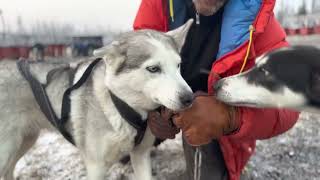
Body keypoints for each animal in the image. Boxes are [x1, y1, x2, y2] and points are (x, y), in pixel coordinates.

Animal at [0, 19, 194, 180]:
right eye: (153, 69)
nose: (189, 98)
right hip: (8, 149)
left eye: (178, 65)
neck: (122, 105)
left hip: (25, 141)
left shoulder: (141, 155)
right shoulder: (96, 166)